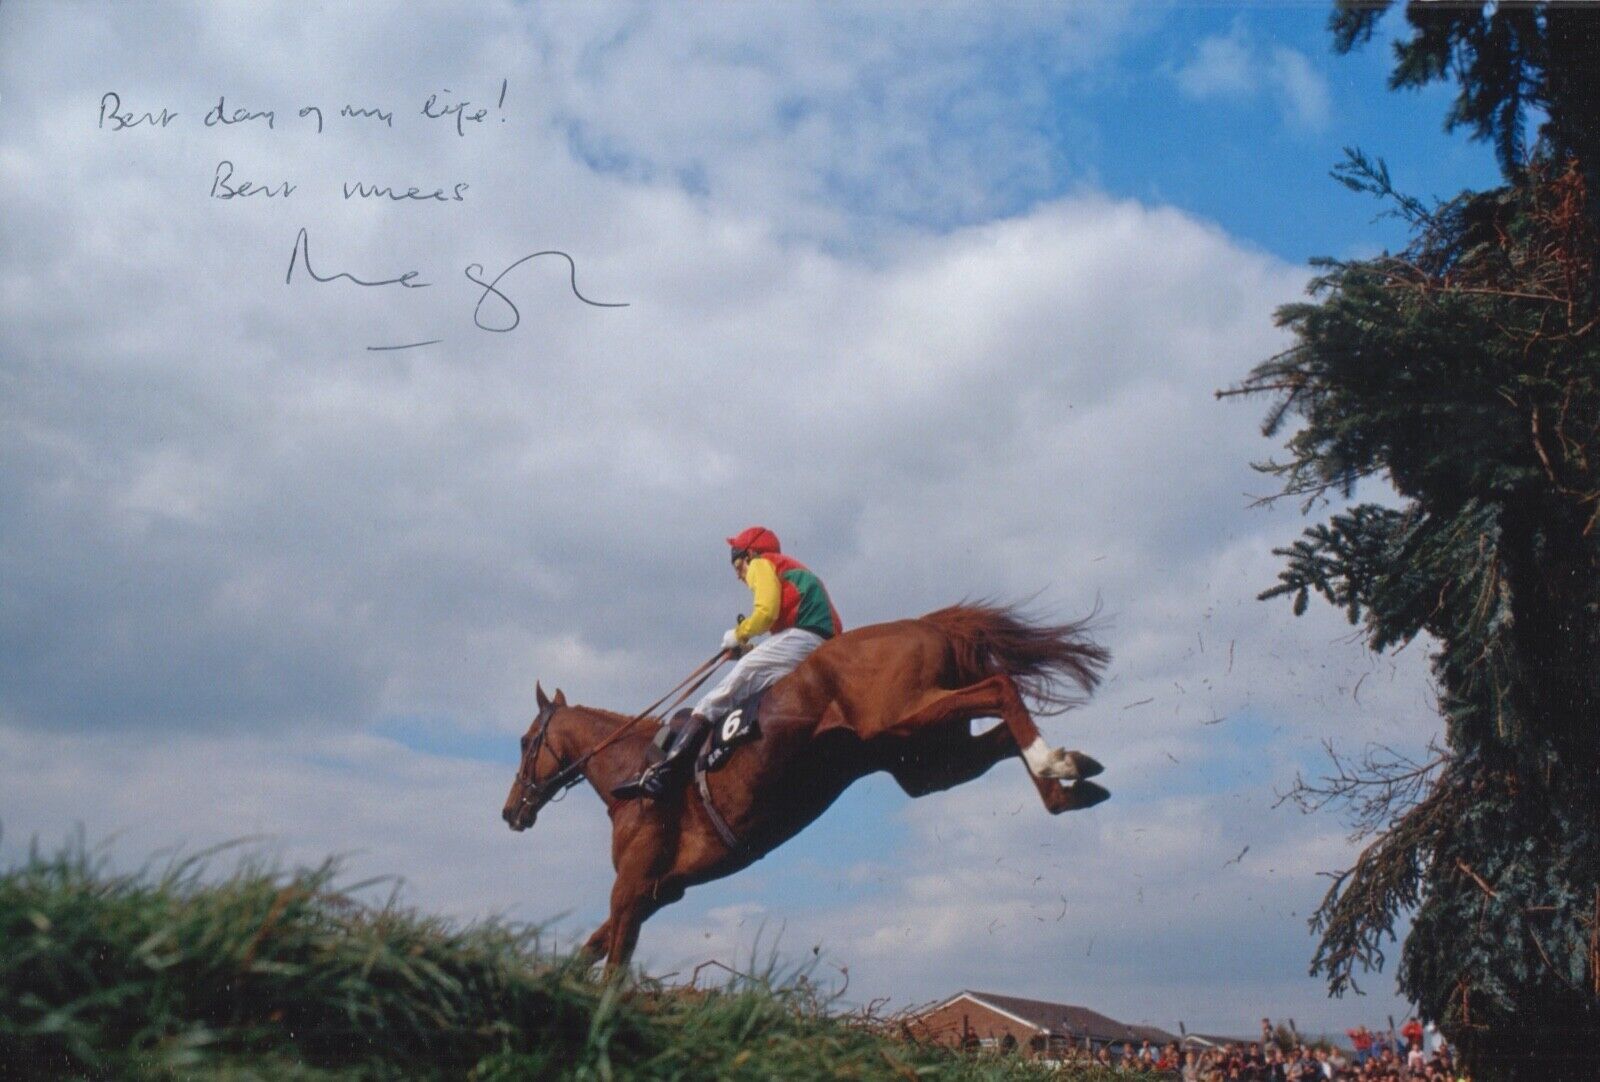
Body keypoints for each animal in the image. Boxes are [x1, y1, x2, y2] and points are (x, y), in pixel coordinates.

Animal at [505, 605, 1107, 966]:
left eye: (524, 741)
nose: (511, 812)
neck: (630, 772)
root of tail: (925, 622)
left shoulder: (632, 886)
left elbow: (612, 962)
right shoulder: (658, 892)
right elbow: (592, 949)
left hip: (902, 717)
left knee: (1001, 687)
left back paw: (1055, 762)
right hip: (927, 760)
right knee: (1001, 731)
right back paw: (1069, 785)